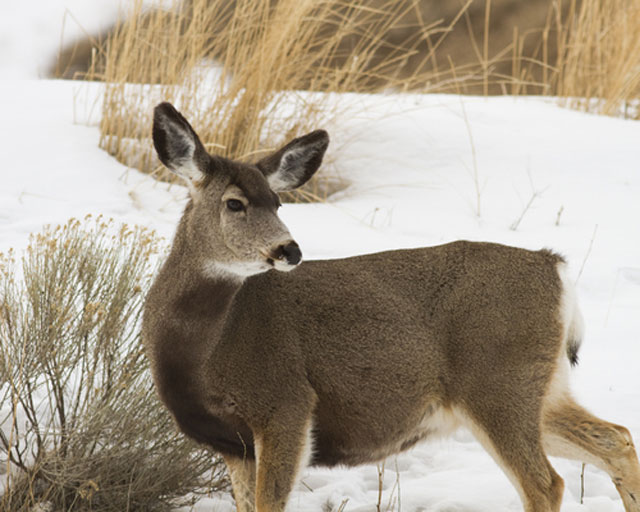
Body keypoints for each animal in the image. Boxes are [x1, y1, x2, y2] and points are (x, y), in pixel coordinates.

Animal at [142, 102, 640, 512]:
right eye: (234, 203)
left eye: (278, 201)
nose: (290, 249)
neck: (206, 347)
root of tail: (553, 265)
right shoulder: (234, 443)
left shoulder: (286, 403)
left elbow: (269, 503)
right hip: (542, 385)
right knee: (616, 437)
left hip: (498, 380)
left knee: (545, 483)